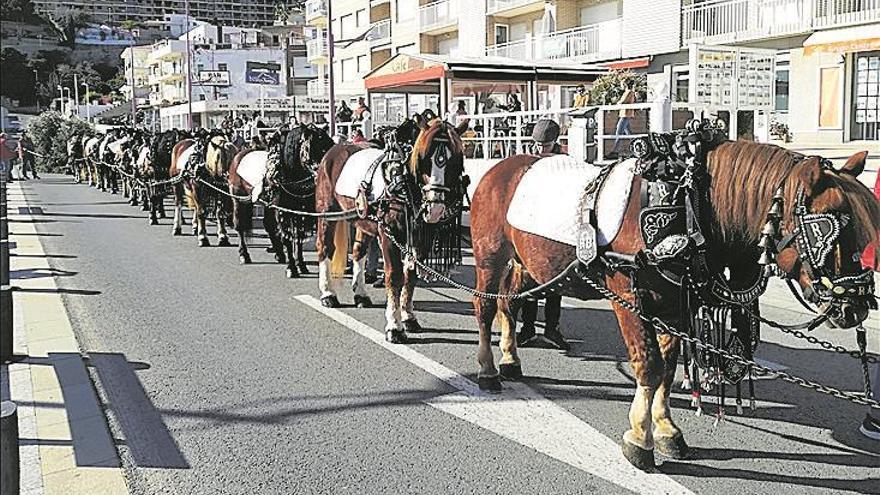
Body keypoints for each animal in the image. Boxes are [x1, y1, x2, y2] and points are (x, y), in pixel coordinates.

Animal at [229, 122, 336, 274]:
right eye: (311, 147)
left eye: (328, 144)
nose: (325, 170)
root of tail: (239, 154)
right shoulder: (283, 210)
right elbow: (287, 237)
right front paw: (292, 267)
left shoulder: (298, 210)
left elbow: (298, 236)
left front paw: (300, 264)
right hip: (238, 199)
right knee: (239, 225)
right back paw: (244, 254)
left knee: (268, 224)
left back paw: (279, 254)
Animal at [314, 113, 468, 344]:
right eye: (424, 159)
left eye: (454, 161)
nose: (435, 208)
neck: (402, 183)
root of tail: (334, 149)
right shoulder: (389, 234)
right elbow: (394, 276)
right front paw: (394, 326)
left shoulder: (421, 239)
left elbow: (410, 274)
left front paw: (408, 317)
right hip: (327, 213)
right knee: (325, 248)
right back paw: (328, 294)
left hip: (362, 220)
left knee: (359, 252)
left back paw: (361, 294)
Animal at [470, 140, 880, 472]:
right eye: (830, 228)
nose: (857, 307)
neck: (685, 202)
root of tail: (499, 168)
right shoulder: (629, 299)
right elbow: (648, 366)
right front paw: (639, 438)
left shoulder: (674, 307)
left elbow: (667, 369)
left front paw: (666, 429)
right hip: (490, 255)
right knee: (485, 307)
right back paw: (488, 370)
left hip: (527, 264)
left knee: (508, 302)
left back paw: (510, 358)